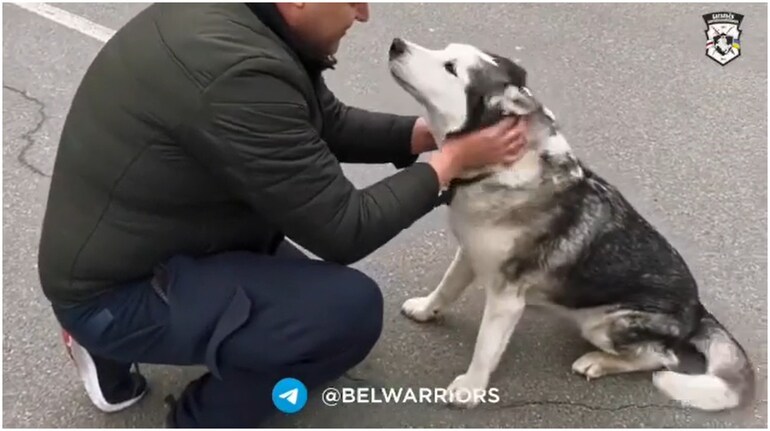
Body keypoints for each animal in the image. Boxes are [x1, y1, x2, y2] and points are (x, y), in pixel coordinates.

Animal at [384, 38, 752, 412]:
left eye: (451, 68)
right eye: (444, 51)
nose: (397, 44)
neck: (500, 169)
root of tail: (697, 309)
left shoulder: (505, 298)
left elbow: (485, 347)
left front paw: (471, 388)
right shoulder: (470, 254)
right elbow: (446, 287)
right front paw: (426, 310)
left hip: (605, 325)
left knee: (663, 360)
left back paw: (598, 362)